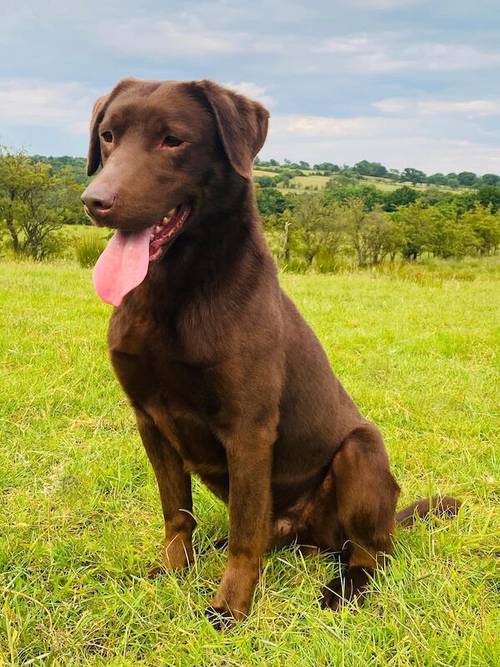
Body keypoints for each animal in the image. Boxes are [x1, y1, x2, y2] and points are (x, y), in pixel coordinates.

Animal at [82, 78, 460, 628]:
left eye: (173, 140)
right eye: (108, 136)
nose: (94, 201)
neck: (175, 290)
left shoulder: (248, 426)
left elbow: (245, 535)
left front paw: (230, 607)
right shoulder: (148, 419)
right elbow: (177, 513)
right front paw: (173, 572)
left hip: (361, 452)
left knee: (369, 553)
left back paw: (344, 589)